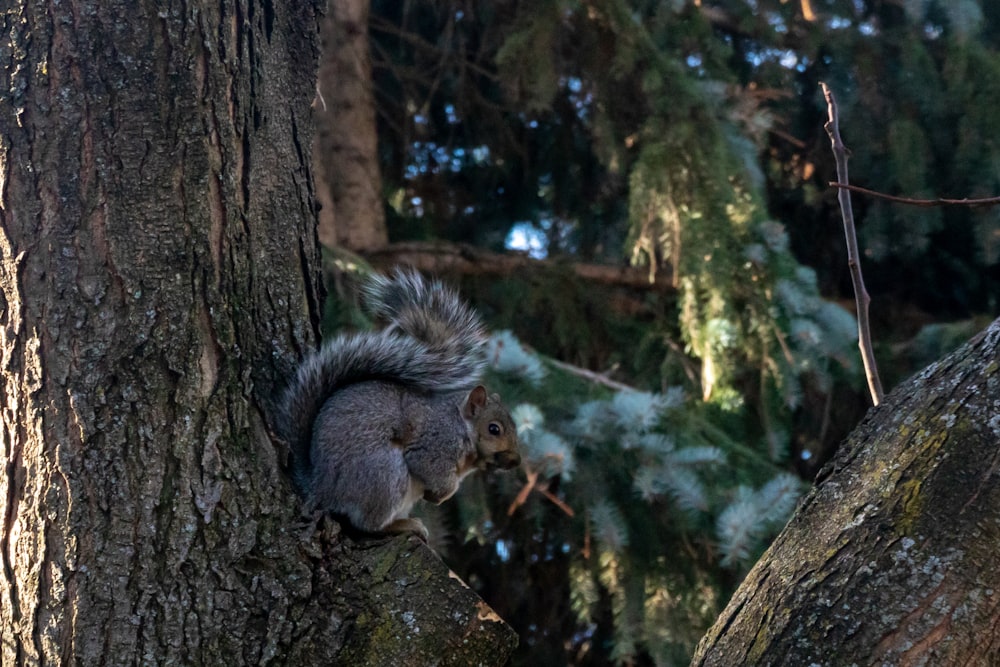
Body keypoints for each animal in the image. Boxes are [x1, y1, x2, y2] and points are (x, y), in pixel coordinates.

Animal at [278, 268, 520, 540]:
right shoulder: (435, 444)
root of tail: (320, 486)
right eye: (494, 429)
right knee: (368, 524)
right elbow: (430, 469)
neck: (461, 426)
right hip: (385, 474)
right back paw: (404, 525)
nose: (516, 461)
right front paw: (441, 494)